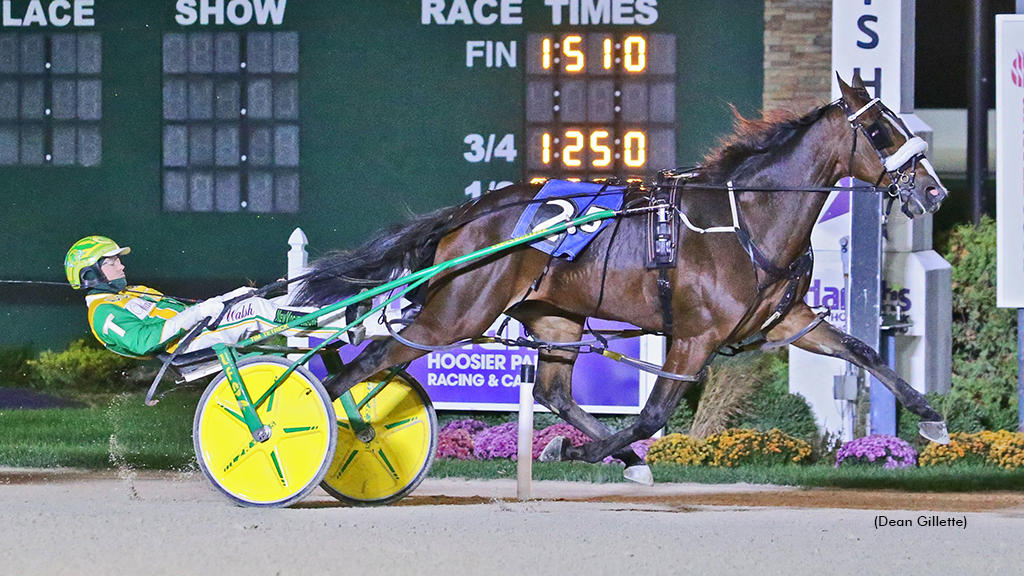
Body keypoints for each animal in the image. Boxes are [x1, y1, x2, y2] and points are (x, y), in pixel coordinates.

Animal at [299, 73, 950, 481]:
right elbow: (654, 415)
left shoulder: (787, 320)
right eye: (882, 131)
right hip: (455, 314)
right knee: (368, 361)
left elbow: (862, 350)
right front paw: (580, 451)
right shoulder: (693, 337)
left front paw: (931, 418)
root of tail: (468, 213)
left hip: (555, 318)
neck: (746, 219)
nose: (933, 192)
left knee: (553, 392)